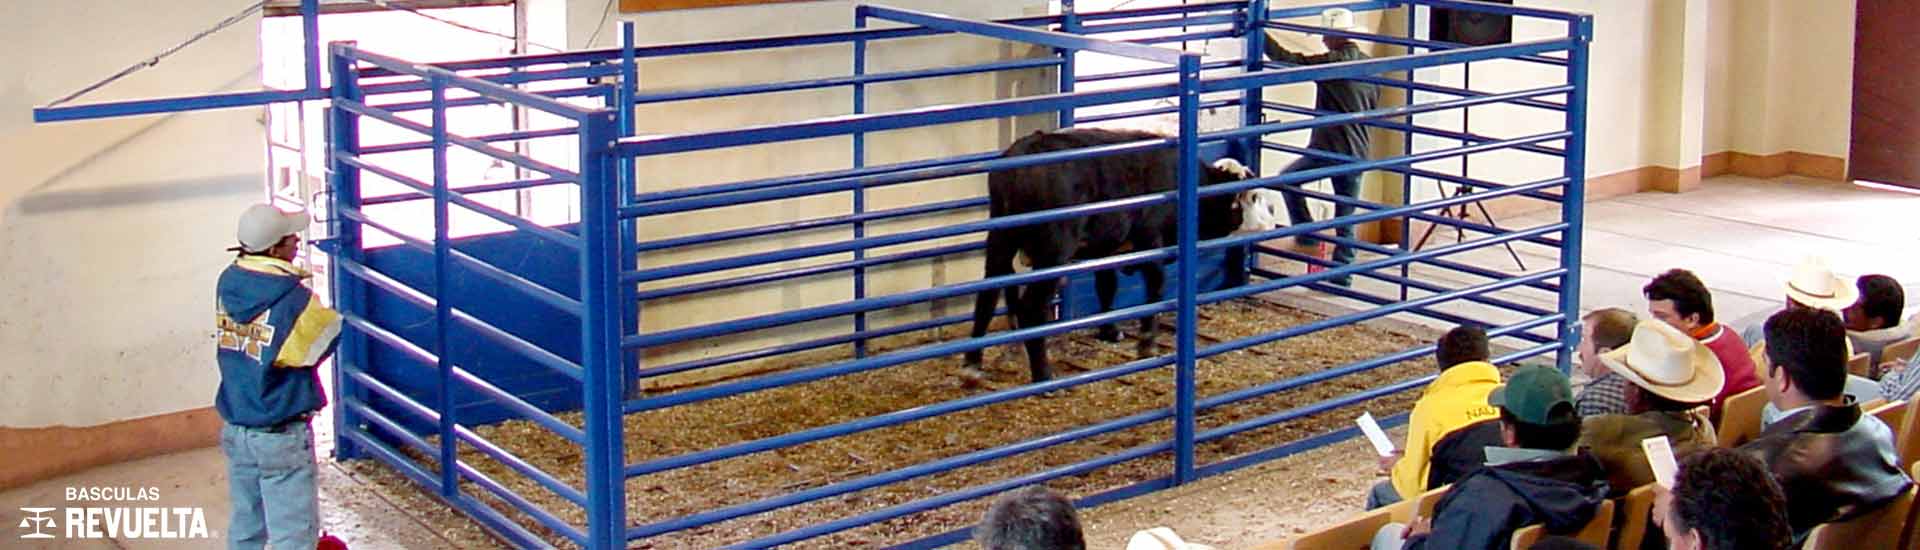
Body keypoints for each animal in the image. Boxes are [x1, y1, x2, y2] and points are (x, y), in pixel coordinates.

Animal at [967, 128, 1267, 386]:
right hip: (1053, 252)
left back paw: (972, 364)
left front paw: (1110, 331)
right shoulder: (1150, 239)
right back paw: (1043, 375)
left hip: (1000, 241)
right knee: (1031, 308)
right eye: (1252, 197)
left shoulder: (1105, 249)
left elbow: (1107, 286)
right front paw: (1146, 343)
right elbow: (1155, 286)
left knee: (987, 295)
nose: (1268, 223)